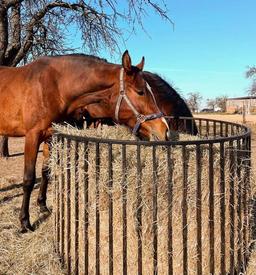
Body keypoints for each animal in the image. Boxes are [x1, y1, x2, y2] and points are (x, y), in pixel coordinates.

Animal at [0, 51, 169, 233]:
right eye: (140, 92)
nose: (164, 130)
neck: (55, 86)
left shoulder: (50, 137)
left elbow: (46, 172)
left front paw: (42, 206)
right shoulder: (32, 136)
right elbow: (29, 180)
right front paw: (25, 222)